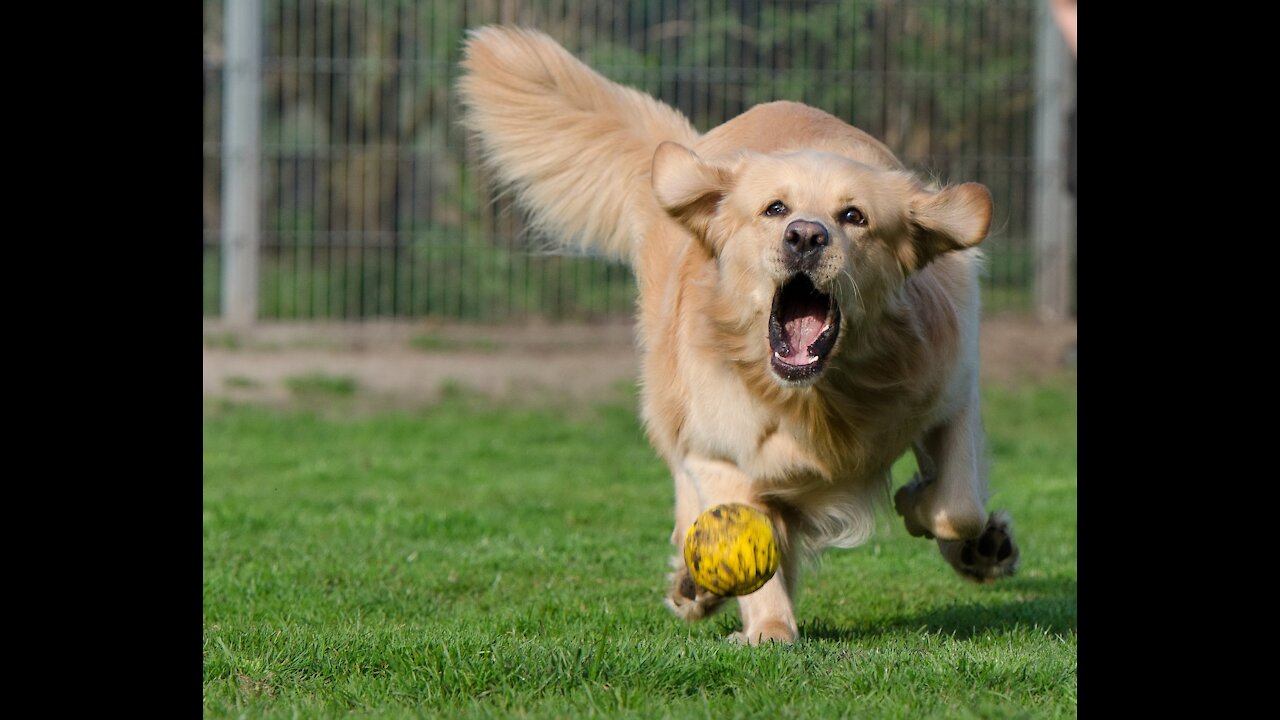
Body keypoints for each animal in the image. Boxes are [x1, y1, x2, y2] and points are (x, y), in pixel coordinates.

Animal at [460, 26, 1018, 638]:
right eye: (775, 209)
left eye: (854, 216)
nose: (805, 236)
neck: (817, 400)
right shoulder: (719, 451)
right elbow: (751, 535)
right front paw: (769, 629)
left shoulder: (951, 392)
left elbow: (959, 505)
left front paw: (935, 515)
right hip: (668, 398)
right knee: (688, 491)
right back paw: (695, 585)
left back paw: (982, 549)